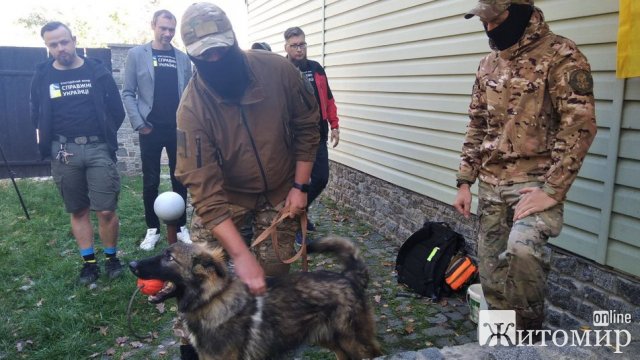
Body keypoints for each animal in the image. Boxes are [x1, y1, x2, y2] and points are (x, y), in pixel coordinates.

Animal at [129, 236, 380, 360]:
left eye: (169, 258)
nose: (132, 265)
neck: (212, 299)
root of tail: (349, 276)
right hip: (329, 338)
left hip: (350, 339)